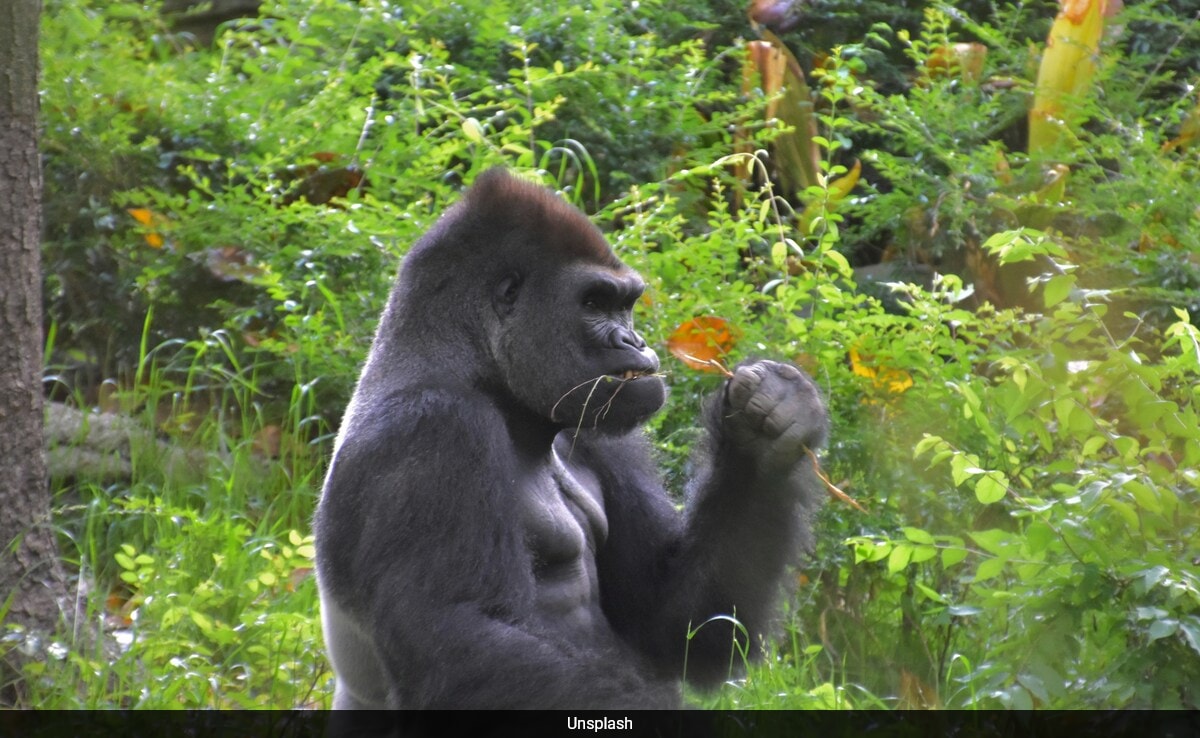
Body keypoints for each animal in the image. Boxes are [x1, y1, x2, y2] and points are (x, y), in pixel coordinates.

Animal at [314, 169, 830, 710]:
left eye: (625, 305)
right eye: (594, 303)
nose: (635, 342)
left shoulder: (598, 426)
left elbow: (676, 621)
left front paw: (763, 437)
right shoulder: (432, 429)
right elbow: (456, 640)